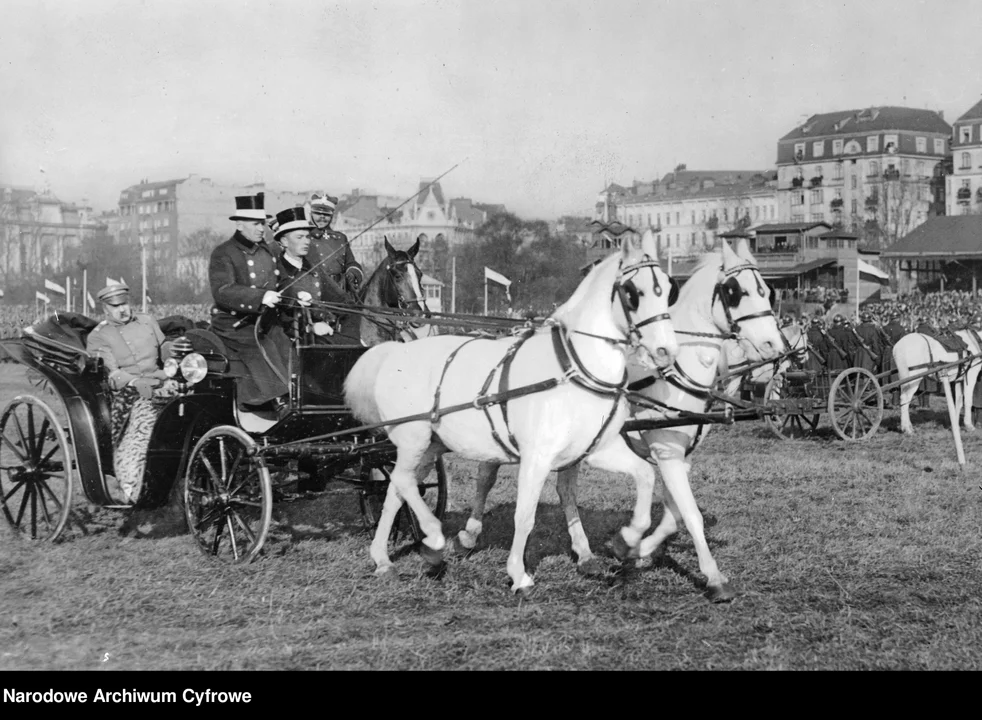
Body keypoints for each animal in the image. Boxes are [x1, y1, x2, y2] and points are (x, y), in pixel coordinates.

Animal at [342, 231, 680, 592]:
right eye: (633, 292)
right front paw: (519, 573)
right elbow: (525, 514)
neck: (573, 370)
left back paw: (384, 558)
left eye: (668, 288)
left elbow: (644, 475)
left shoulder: (595, 450)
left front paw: (625, 541)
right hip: (412, 439)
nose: (666, 351)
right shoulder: (536, 457)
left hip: (429, 446)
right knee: (402, 482)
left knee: (395, 490)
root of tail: (394, 351)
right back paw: (432, 537)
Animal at [458, 238, 788, 600]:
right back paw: (468, 535)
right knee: (486, 475)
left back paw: (585, 554)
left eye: (767, 290)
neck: (675, 372)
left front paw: (636, 550)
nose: (776, 344)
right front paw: (713, 578)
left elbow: (673, 516)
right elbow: (690, 514)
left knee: (564, 489)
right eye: (735, 291)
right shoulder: (665, 452)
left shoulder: (675, 456)